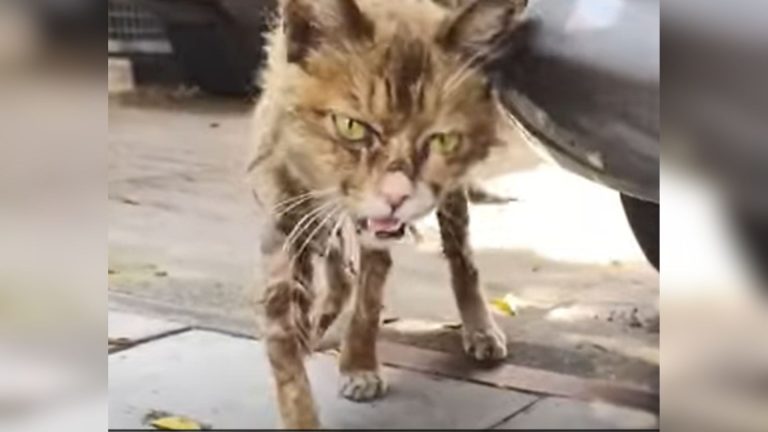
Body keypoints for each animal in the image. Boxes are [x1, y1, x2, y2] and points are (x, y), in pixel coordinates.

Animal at [249, 0, 524, 428]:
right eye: (351, 126)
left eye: (442, 140)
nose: (397, 196)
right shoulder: (285, 211)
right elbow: (284, 338)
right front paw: (301, 405)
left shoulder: (378, 235)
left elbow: (370, 295)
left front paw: (358, 363)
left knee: (461, 258)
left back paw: (479, 326)